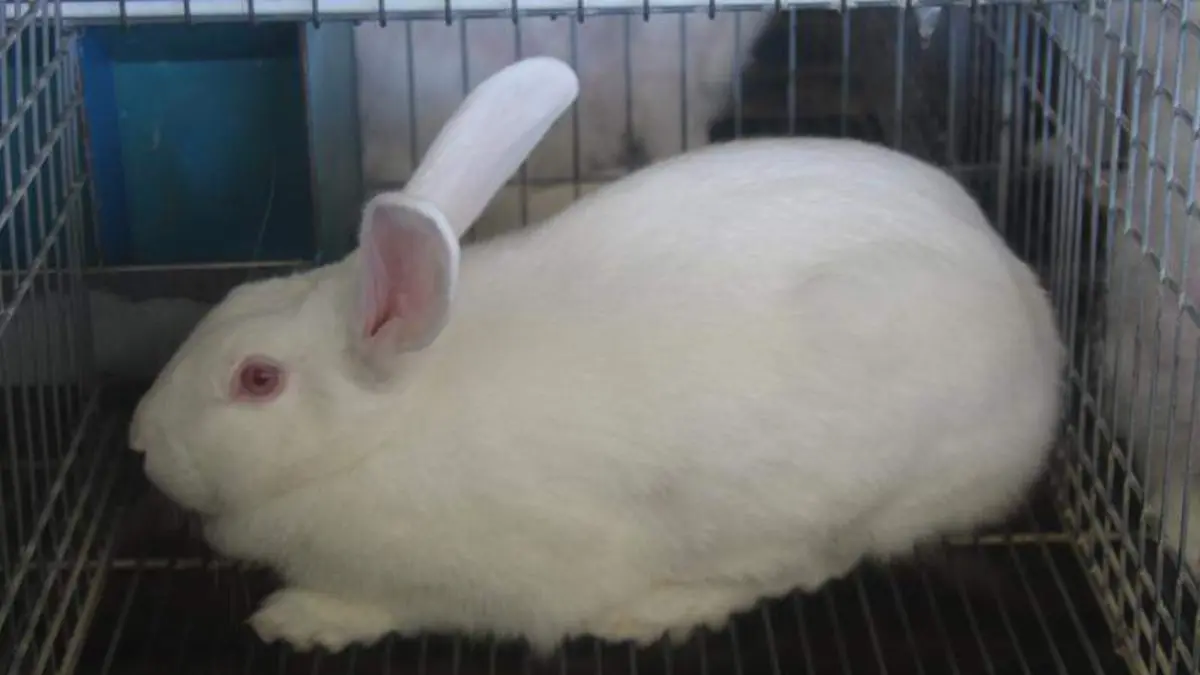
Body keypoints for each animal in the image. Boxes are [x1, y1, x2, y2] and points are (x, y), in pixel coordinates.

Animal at [128, 56, 1064, 656]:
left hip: (833, 490)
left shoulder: (488, 576)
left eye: (257, 378)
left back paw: (656, 609)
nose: (139, 442)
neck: (390, 424)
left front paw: (301, 617)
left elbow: (397, 603)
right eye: (228, 304)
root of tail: (1037, 334)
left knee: (807, 562)